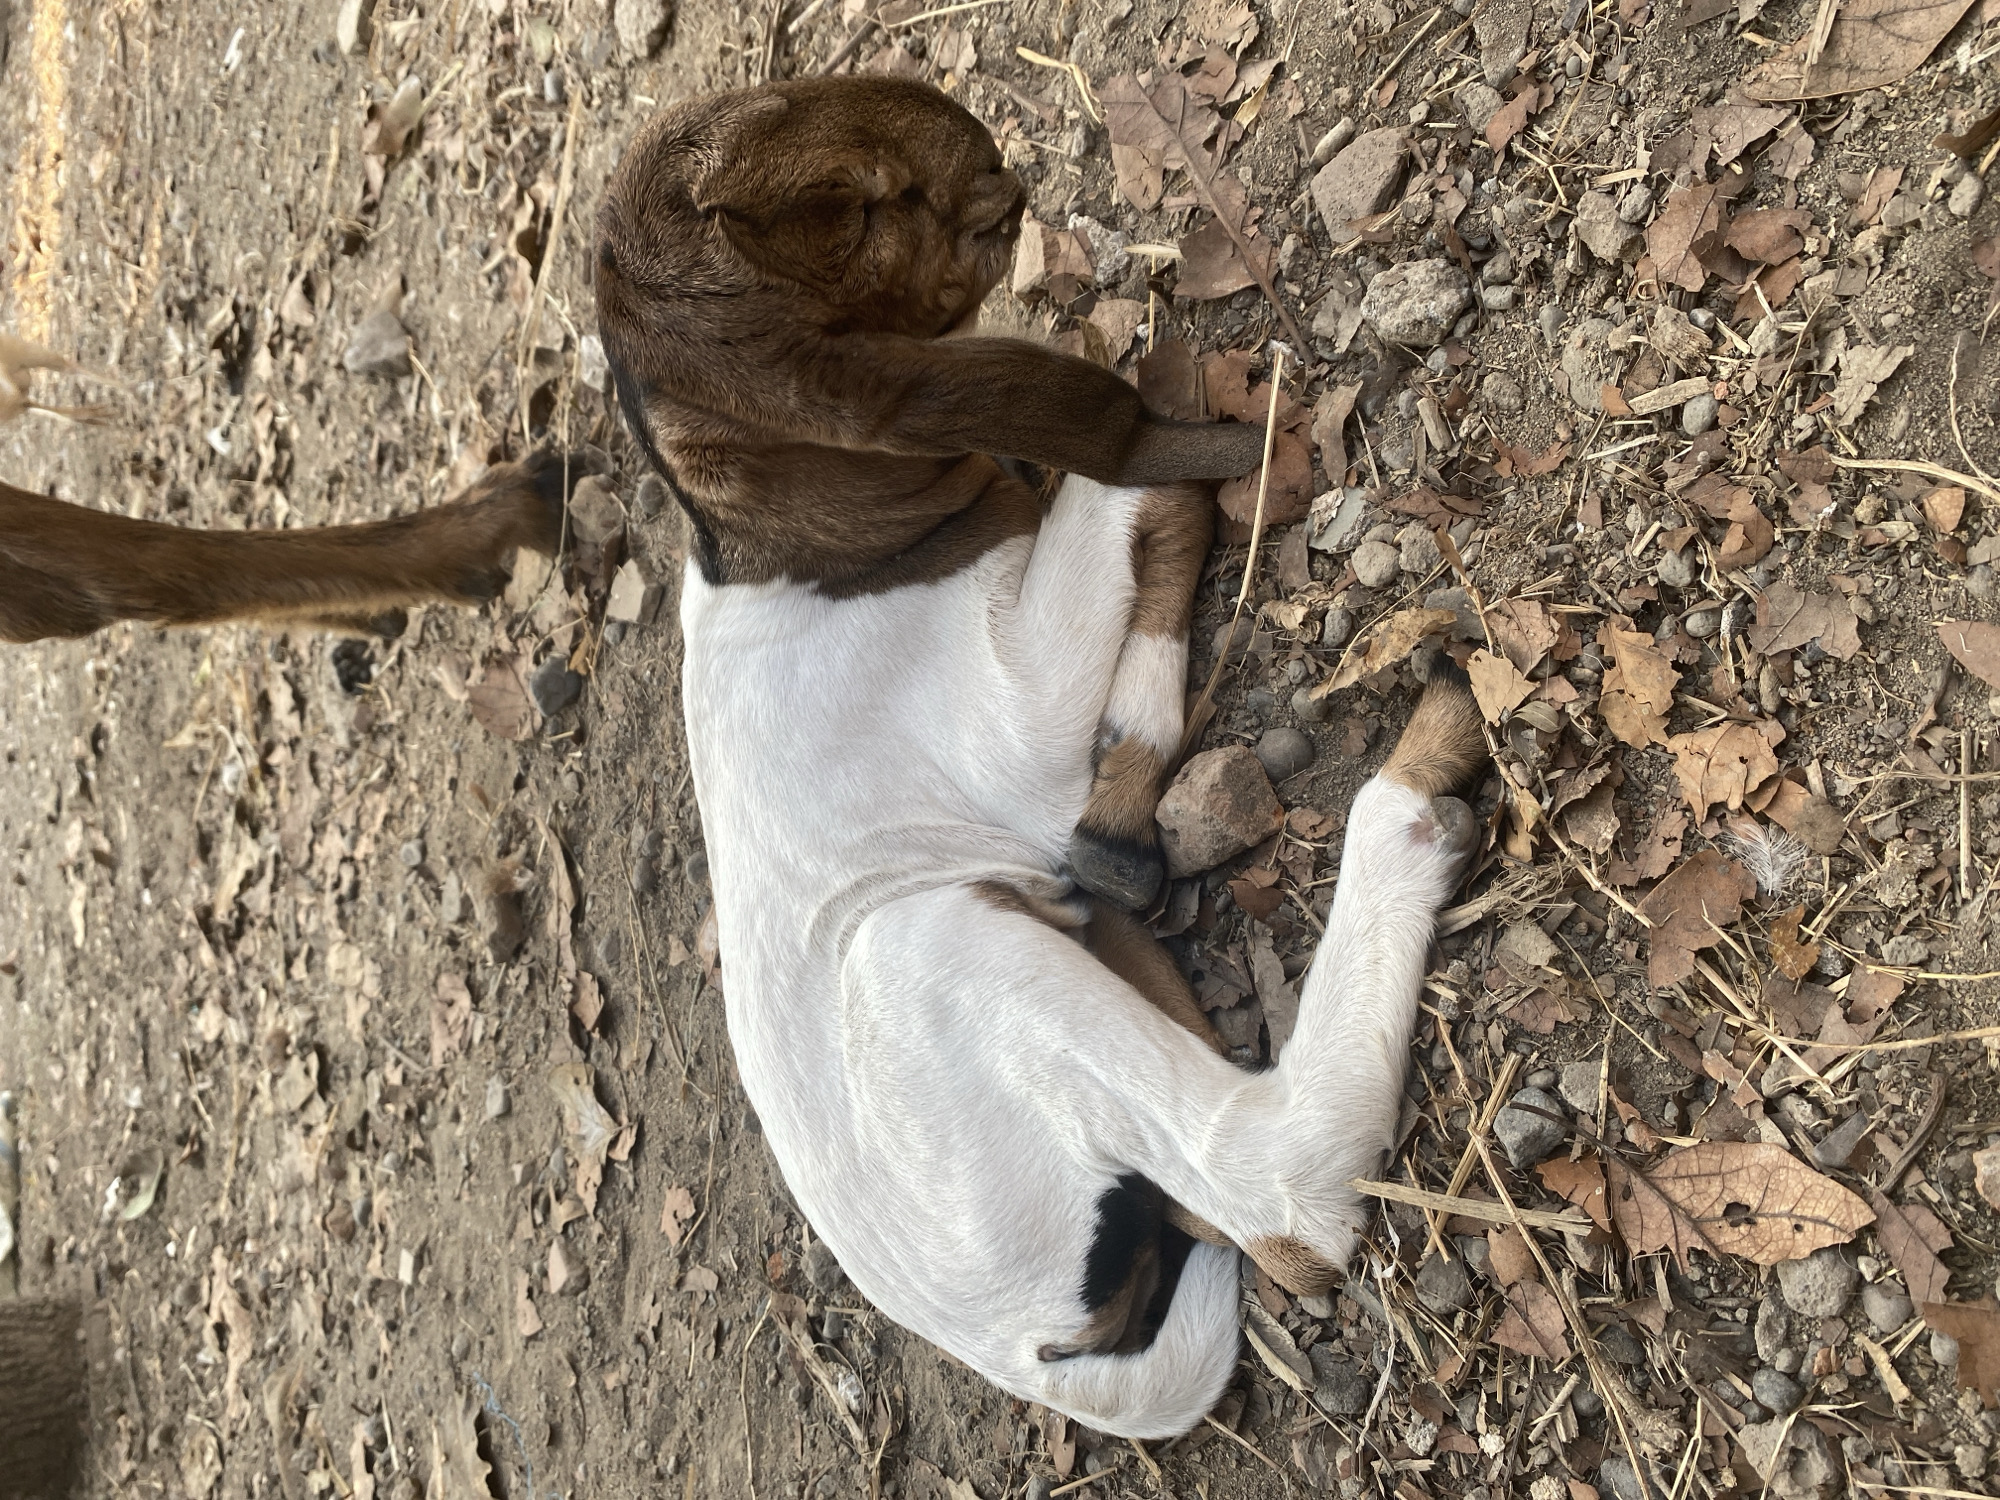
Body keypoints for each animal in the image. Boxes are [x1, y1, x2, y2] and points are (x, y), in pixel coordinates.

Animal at [596, 75, 1488, 1438]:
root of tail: (1035, 1352)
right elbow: (1126, 486)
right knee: (1270, 1184)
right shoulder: (1010, 710)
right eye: (856, 205)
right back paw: (1414, 781)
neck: (801, 552)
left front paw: (1125, 789)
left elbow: (1138, 504)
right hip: (939, 947)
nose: (989, 166)